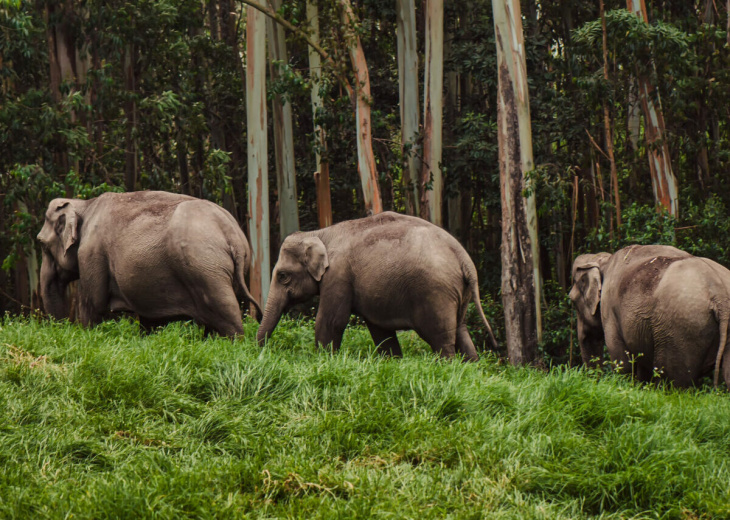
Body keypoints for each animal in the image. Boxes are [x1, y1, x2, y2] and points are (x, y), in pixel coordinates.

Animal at [36, 191, 262, 338]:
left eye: (41, 244)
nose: (61, 329)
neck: (85, 204)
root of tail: (232, 234)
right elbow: (149, 320)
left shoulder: (91, 254)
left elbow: (93, 307)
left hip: (206, 269)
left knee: (226, 315)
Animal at [253, 209, 498, 360]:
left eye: (282, 276)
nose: (260, 351)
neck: (320, 233)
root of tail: (464, 258)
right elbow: (380, 330)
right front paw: (393, 362)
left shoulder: (338, 276)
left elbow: (331, 321)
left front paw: (322, 359)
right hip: (458, 293)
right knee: (461, 331)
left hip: (436, 294)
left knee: (441, 339)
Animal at [568, 246, 728, 388]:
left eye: (572, 301)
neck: (604, 260)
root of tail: (720, 295)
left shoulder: (610, 310)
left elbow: (621, 360)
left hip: (681, 327)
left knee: (673, 379)